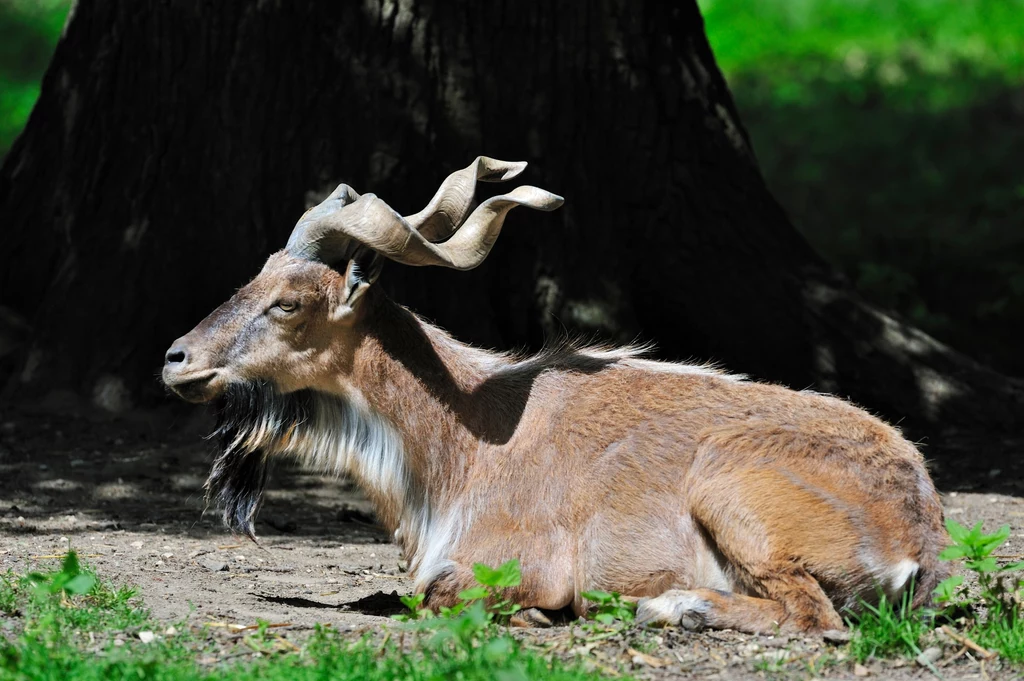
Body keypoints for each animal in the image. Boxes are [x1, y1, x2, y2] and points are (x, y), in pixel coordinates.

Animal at [163, 157, 946, 630]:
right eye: (256, 275)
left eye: (289, 303)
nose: (177, 359)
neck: (463, 439)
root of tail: (917, 538)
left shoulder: (518, 565)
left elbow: (442, 599)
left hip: (730, 492)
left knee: (813, 616)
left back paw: (673, 607)